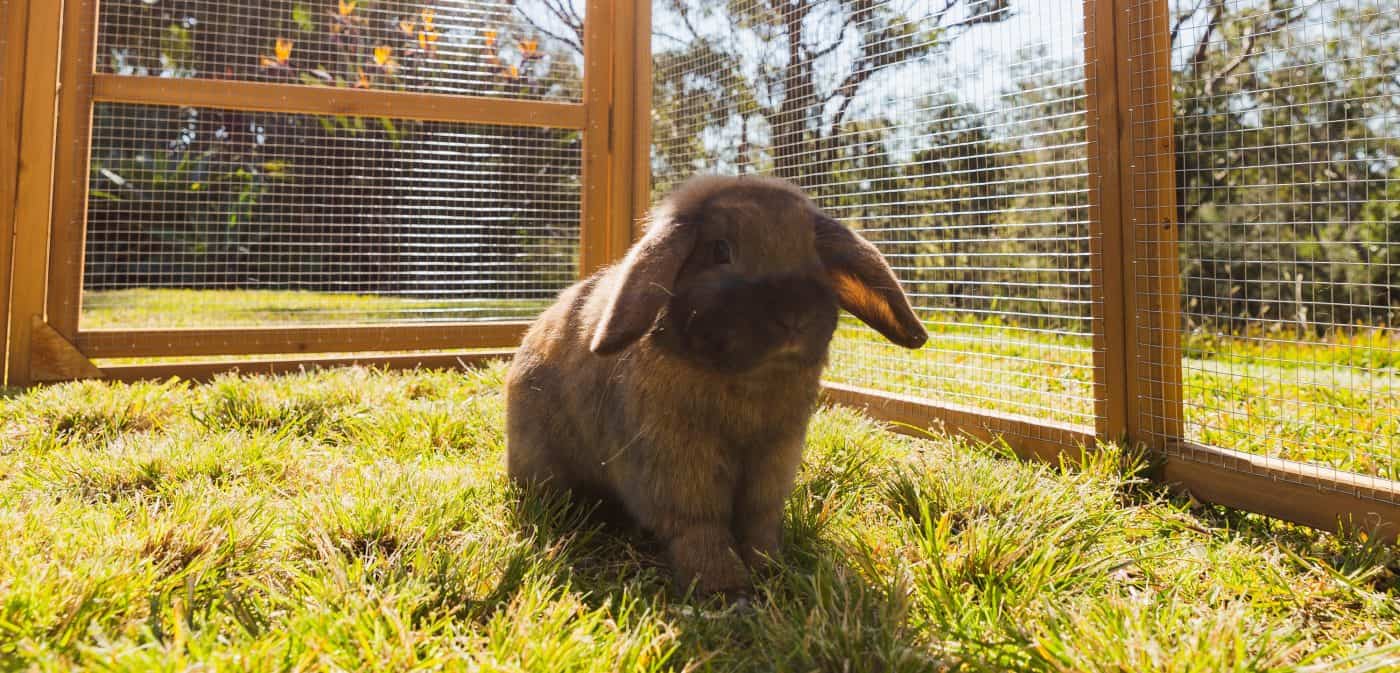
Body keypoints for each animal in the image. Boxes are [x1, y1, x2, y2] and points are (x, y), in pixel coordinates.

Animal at [506, 175, 929, 596]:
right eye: (720, 250)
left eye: (813, 252)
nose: (795, 314)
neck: (749, 379)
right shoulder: (678, 460)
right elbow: (699, 525)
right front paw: (723, 588)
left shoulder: (773, 459)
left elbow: (758, 521)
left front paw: (771, 569)